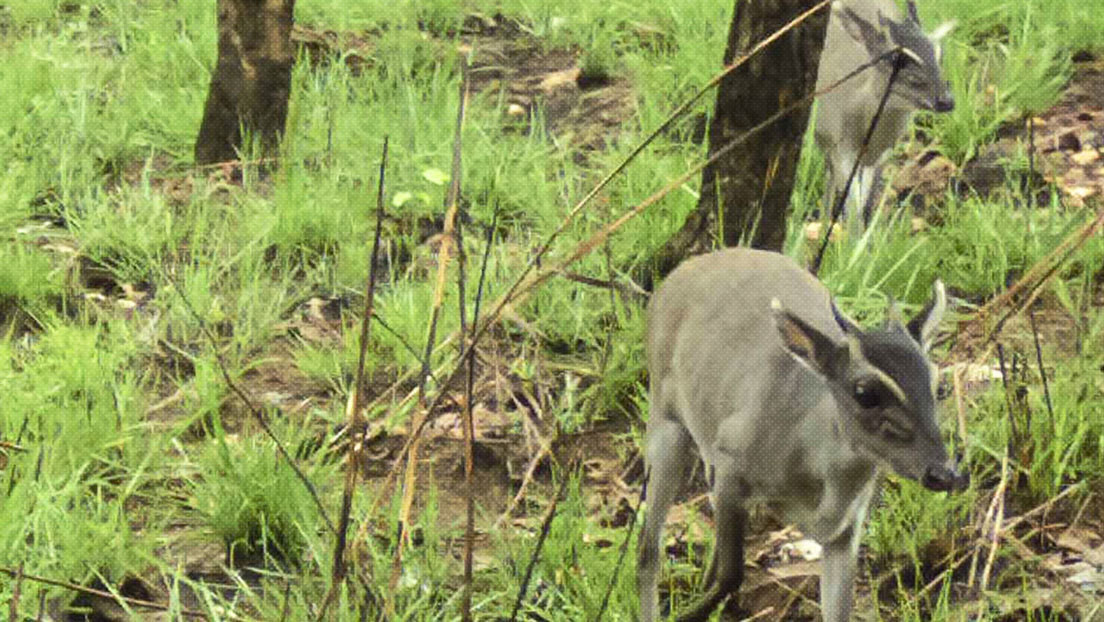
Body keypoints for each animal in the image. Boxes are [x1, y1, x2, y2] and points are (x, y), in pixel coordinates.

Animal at [637, 248, 968, 622]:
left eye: (938, 386)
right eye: (864, 392)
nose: (944, 473)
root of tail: (676, 274)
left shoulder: (845, 529)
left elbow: (838, 610)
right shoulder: (731, 464)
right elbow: (732, 574)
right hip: (665, 422)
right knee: (648, 550)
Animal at [815, 0, 956, 228]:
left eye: (939, 52)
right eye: (893, 57)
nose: (946, 101)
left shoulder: (883, 155)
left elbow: (865, 207)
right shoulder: (839, 146)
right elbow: (852, 212)